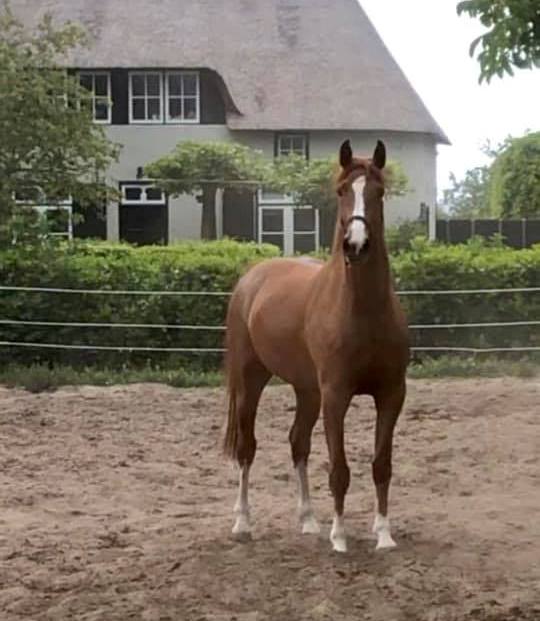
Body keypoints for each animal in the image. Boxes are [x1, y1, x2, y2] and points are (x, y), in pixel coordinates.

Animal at [223, 140, 409, 553]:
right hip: (250, 382)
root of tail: (251, 279)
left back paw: (308, 520)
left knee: (298, 443)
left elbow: (382, 465)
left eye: (379, 192)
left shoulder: (391, 394)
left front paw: (384, 533)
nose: (356, 245)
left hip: (307, 390)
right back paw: (243, 522)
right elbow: (339, 469)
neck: (360, 311)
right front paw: (339, 538)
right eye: (341, 191)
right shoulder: (336, 395)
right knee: (247, 448)